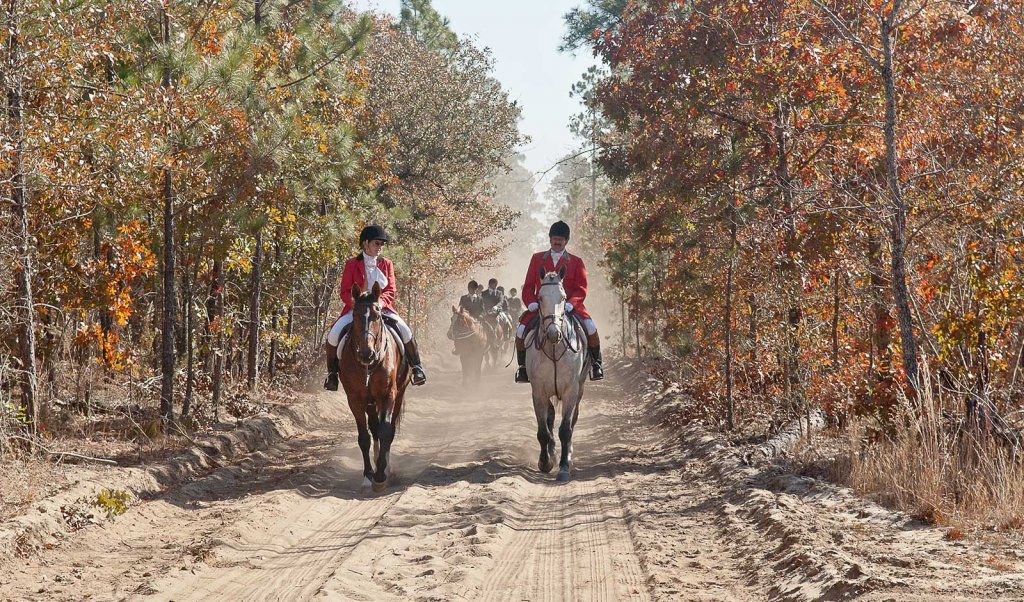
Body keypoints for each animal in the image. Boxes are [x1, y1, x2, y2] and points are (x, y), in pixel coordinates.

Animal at [342, 282, 409, 489]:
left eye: (377, 315)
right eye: (355, 315)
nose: (366, 354)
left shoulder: (388, 394)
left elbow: (386, 430)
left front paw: (380, 474)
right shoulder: (354, 399)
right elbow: (364, 436)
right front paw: (368, 474)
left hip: (398, 395)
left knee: (388, 428)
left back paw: (386, 466)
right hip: (370, 402)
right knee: (373, 428)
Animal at [524, 266, 589, 481]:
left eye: (564, 297)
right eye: (540, 297)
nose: (553, 333)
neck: (553, 347)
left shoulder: (571, 390)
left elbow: (565, 430)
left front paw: (563, 466)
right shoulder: (538, 391)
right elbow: (543, 431)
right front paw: (545, 462)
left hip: (580, 389)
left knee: (572, 420)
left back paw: (567, 453)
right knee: (550, 417)